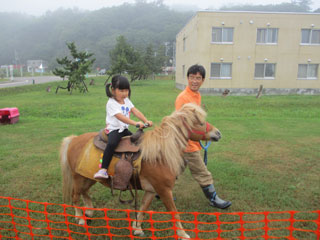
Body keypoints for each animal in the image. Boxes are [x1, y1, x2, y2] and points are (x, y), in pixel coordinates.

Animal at [59, 102, 220, 239]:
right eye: (200, 123)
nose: (218, 133)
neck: (159, 154)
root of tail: (74, 139)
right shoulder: (164, 190)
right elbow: (174, 213)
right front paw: (183, 234)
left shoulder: (151, 190)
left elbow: (143, 207)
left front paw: (137, 228)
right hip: (78, 177)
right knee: (75, 196)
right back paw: (80, 218)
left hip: (89, 178)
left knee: (83, 192)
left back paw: (89, 211)